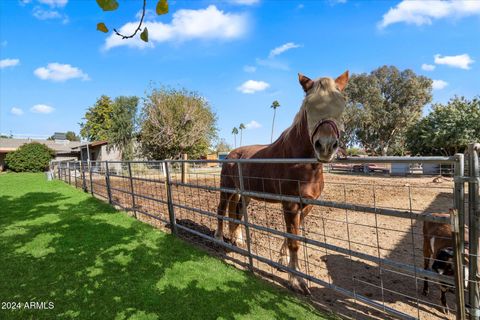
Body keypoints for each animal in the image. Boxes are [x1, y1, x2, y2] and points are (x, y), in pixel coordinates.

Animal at [216, 71, 346, 294]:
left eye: (341, 104)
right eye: (308, 105)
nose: (326, 146)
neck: (302, 163)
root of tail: (231, 155)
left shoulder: (307, 205)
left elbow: (292, 235)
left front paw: (283, 261)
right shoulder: (290, 203)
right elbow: (294, 241)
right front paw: (297, 280)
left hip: (245, 194)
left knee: (238, 212)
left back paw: (237, 240)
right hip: (227, 189)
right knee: (221, 209)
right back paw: (217, 238)